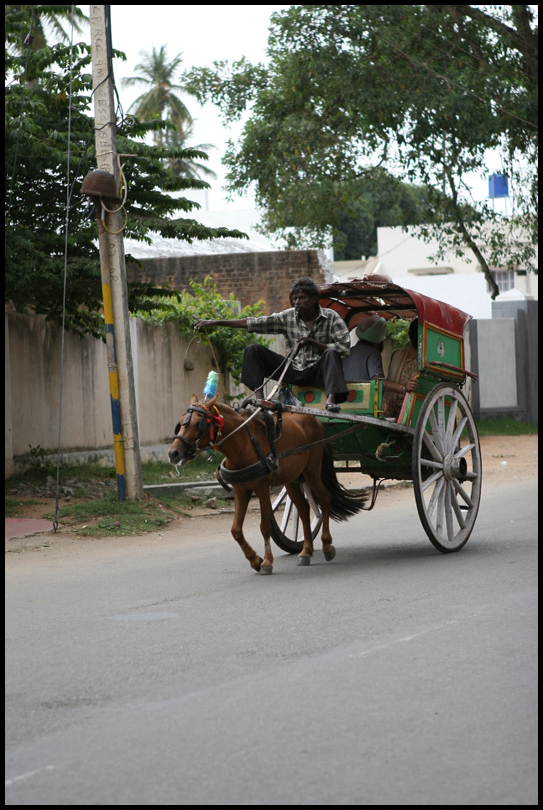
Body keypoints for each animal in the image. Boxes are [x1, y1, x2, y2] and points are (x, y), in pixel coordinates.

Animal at [168, 392, 368, 576]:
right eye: (180, 422)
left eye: (198, 423)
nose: (173, 453)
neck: (244, 444)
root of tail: (313, 419)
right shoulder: (241, 491)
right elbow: (236, 530)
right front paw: (254, 560)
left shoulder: (261, 488)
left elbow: (264, 527)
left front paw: (266, 562)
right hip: (292, 479)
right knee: (303, 509)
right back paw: (306, 551)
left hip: (312, 472)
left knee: (325, 499)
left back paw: (327, 546)